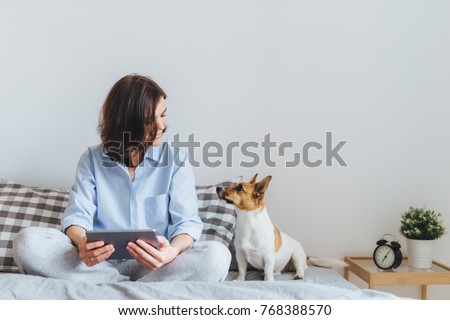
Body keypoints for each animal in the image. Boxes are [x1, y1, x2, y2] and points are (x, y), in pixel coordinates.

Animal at [216, 174, 346, 282]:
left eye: (239, 188)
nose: (217, 188)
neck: (248, 222)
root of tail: (306, 256)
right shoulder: (240, 255)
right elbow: (242, 270)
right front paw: (239, 280)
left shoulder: (268, 257)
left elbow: (268, 272)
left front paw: (268, 281)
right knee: (277, 271)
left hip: (296, 255)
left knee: (299, 268)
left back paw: (298, 275)